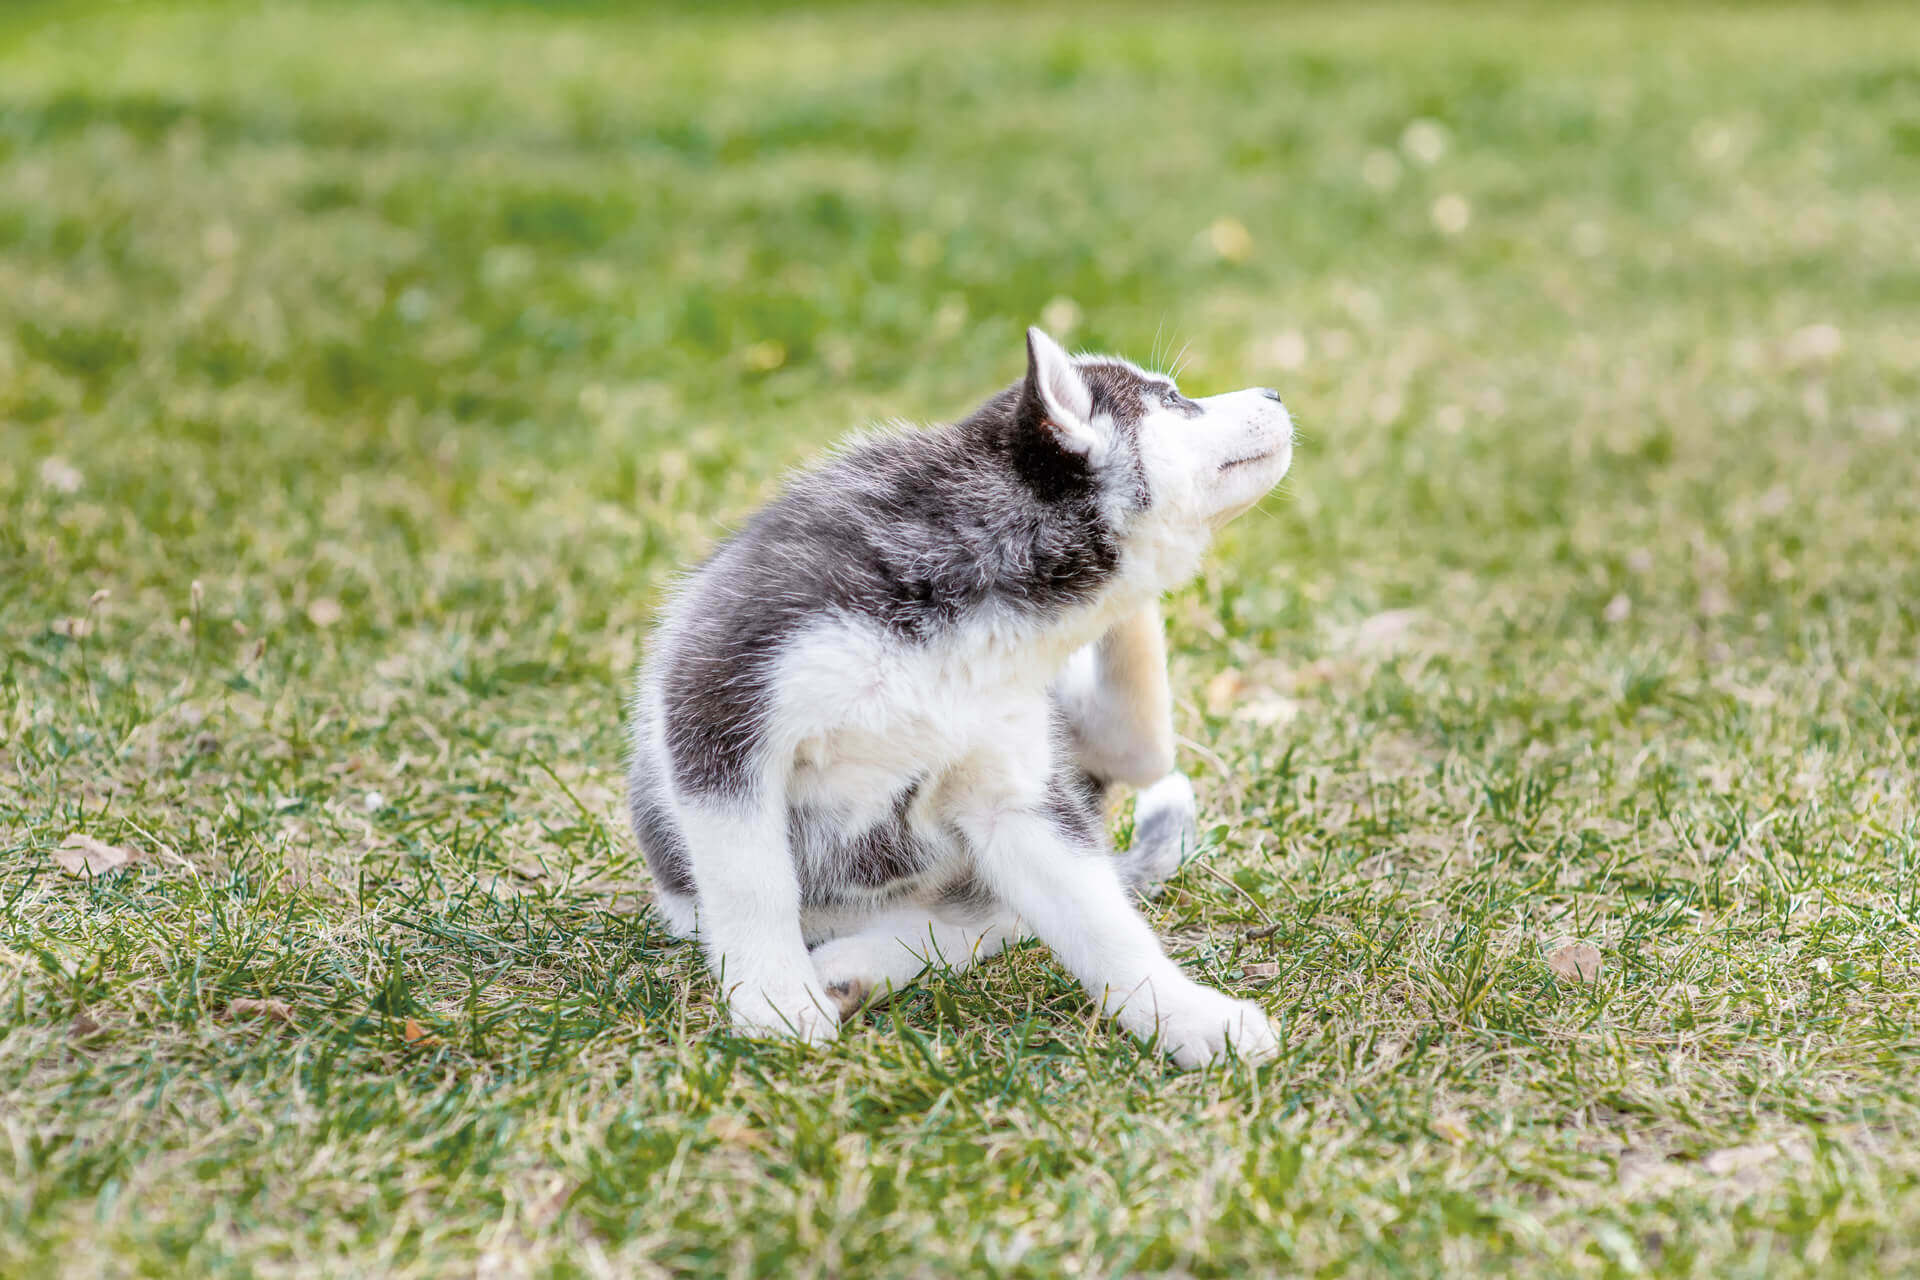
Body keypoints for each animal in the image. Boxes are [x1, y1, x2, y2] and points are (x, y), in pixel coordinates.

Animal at [629, 326, 1290, 1066]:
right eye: (1173, 398)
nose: (1275, 392)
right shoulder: (719, 697)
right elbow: (752, 882)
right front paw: (773, 1000)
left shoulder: (1011, 794)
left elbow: (1106, 928)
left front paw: (1187, 1016)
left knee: (994, 910)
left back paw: (858, 965)